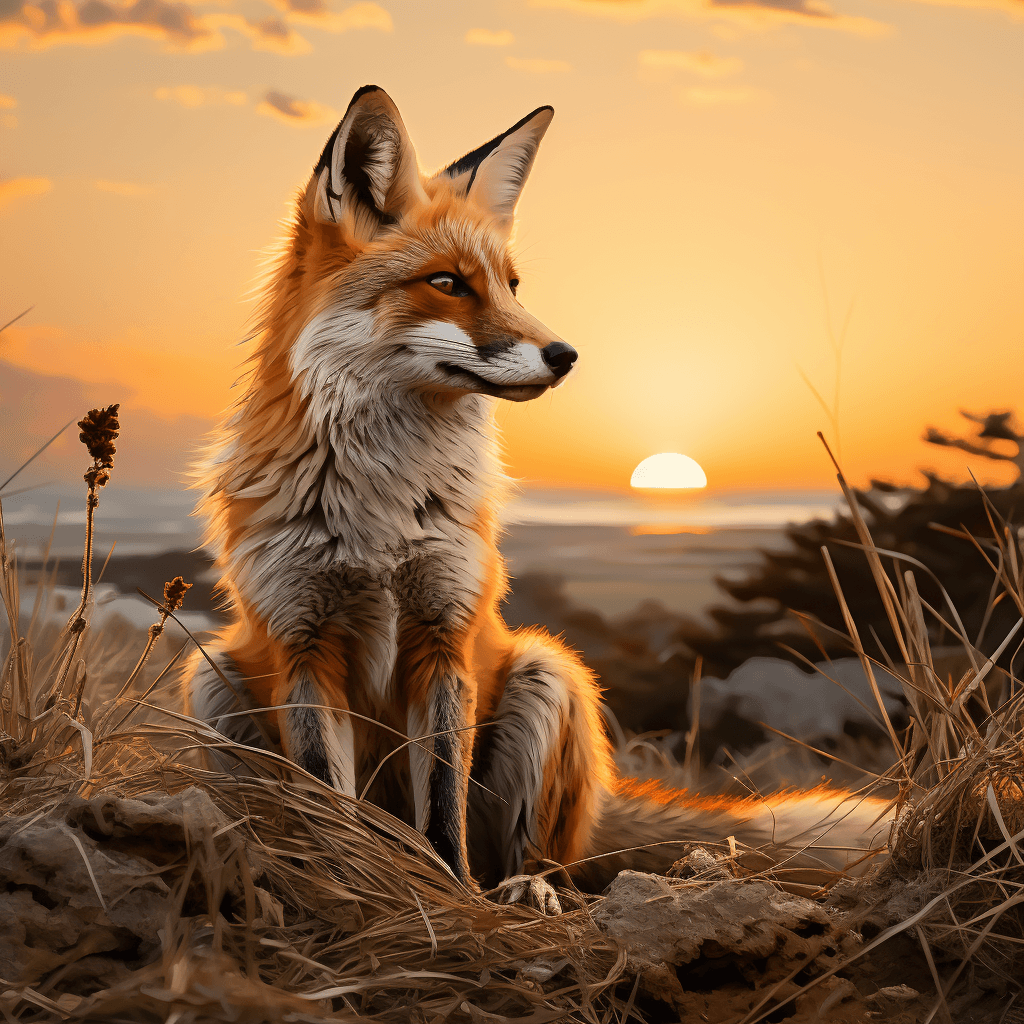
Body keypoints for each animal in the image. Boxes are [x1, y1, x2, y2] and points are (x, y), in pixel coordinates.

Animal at [185, 85, 892, 913]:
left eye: (512, 285)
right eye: (448, 283)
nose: (567, 354)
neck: (382, 514)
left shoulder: (445, 634)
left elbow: (444, 813)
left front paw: (452, 900)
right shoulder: (303, 640)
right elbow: (329, 806)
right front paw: (347, 892)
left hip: (548, 673)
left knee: (539, 858)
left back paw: (527, 889)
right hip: (213, 679)